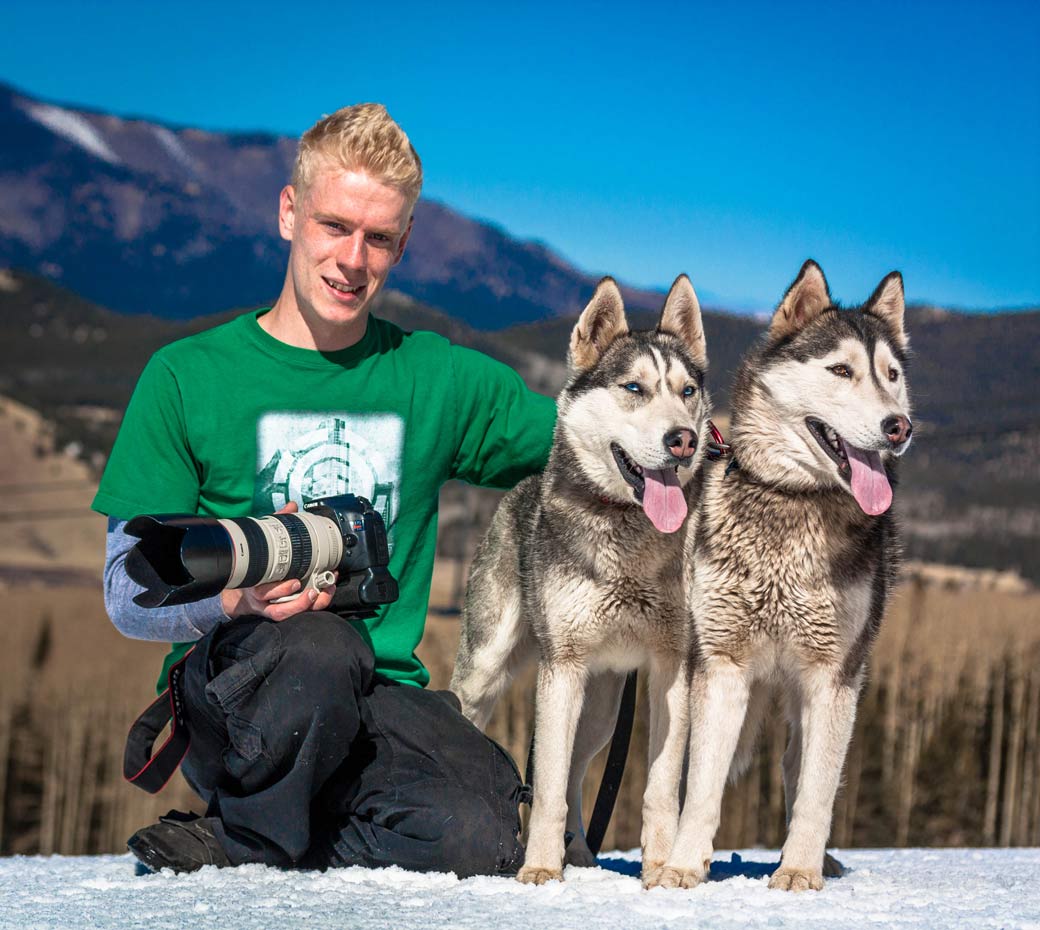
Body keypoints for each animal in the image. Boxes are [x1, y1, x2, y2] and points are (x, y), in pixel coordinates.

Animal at [451, 276, 711, 890]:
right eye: (635, 387)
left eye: (687, 391)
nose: (685, 439)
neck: (628, 532)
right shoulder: (561, 666)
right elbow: (544, 789)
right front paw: (540, 868)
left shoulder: (671, 666)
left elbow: (660, 788)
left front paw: (659, 869)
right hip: (490, 670)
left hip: (601, 711)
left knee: (573, 770)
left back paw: (583, 854)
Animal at [653, 260, 915, 894]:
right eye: (842, 370)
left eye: (891, 375)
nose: (899, 426)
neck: (793, 502)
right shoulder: (721, 667)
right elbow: (701, 788)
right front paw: (682, 866)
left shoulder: (832, 677)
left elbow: (817, 793)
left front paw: (798, 871)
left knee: (803, 774)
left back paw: (816, 859)